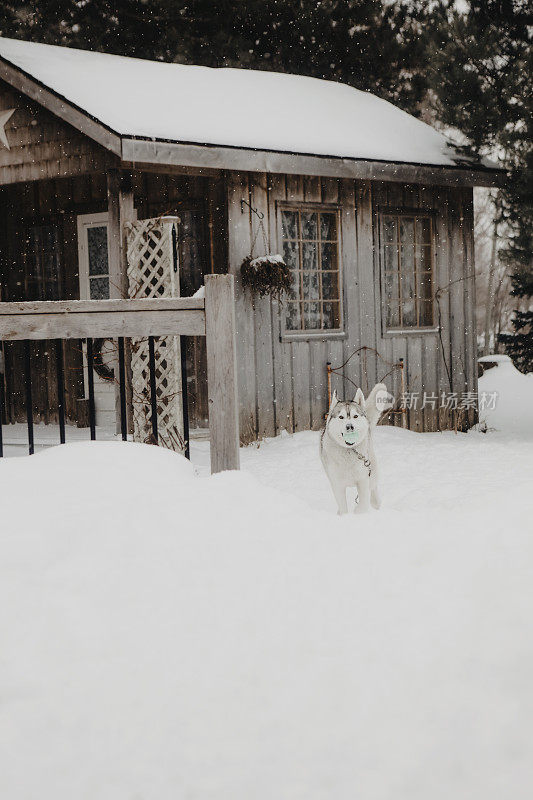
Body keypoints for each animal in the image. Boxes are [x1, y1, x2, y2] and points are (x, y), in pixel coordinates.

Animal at [320, 384, 390, 516]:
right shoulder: (337, 483)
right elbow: (343, 507)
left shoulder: (363, 480)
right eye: (341, 417)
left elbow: (363, 504)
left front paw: (358, 513)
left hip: (372, 470)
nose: (350, 426)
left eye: (355, 416)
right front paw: (344, 516)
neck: (348, 451)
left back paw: (376, 503)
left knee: (373, 489)